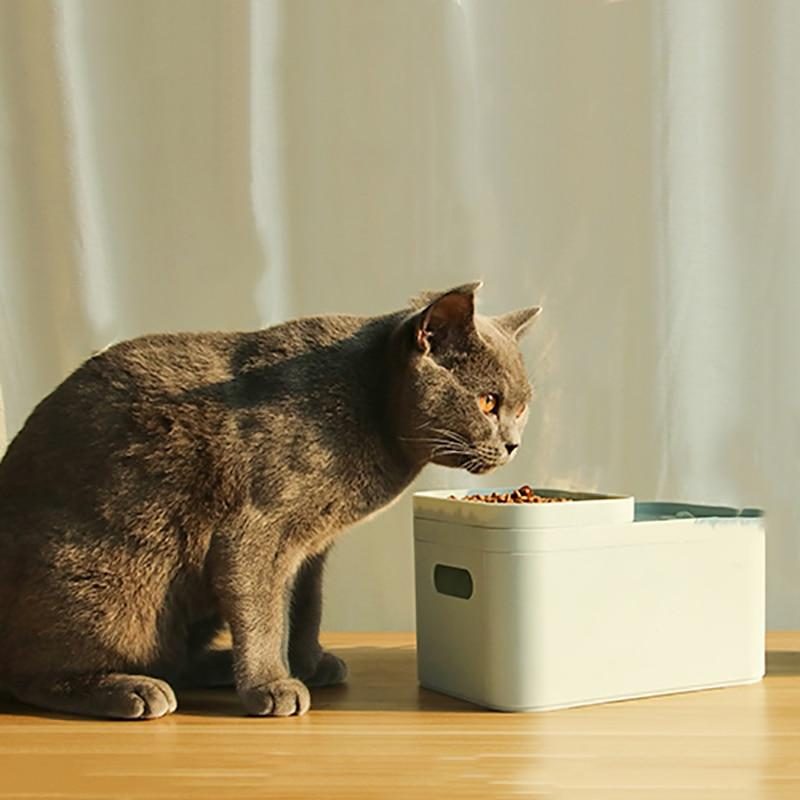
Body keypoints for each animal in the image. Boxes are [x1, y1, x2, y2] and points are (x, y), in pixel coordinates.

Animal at [0, 282, 540, 720]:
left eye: (522, 408)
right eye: (488, 402)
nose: (514, 444)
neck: (368, 406)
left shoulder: (311, 549)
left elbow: (304, 607)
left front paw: (306, 663)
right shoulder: (254, 531)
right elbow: (263, 612)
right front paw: (273, 683)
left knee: (174, 655)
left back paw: (215, 666)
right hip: (111, 583)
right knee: (29, 674)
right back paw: (133, 690)